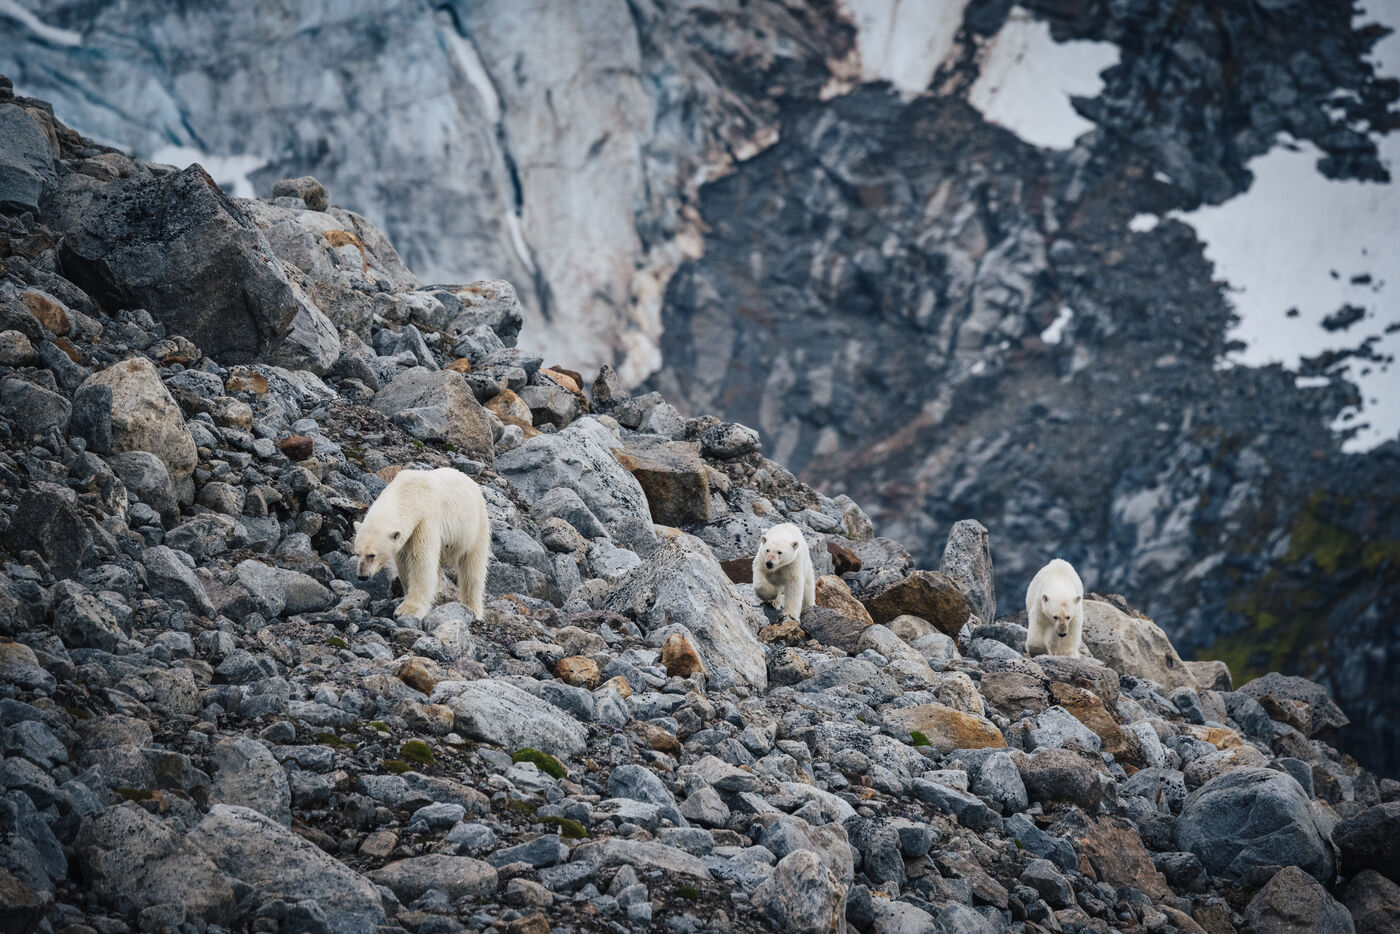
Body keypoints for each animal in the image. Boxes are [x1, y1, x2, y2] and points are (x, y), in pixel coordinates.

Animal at [353, 467, 491, 618]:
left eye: (372, 555)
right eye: (357, 553)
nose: (362, 576)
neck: (410, 493)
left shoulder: (425, 521)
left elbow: (421, 561)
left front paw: (408, 609)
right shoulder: (406, 538)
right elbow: (404, 563)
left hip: (475, 526)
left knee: (472, 568)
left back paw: (472, 608)